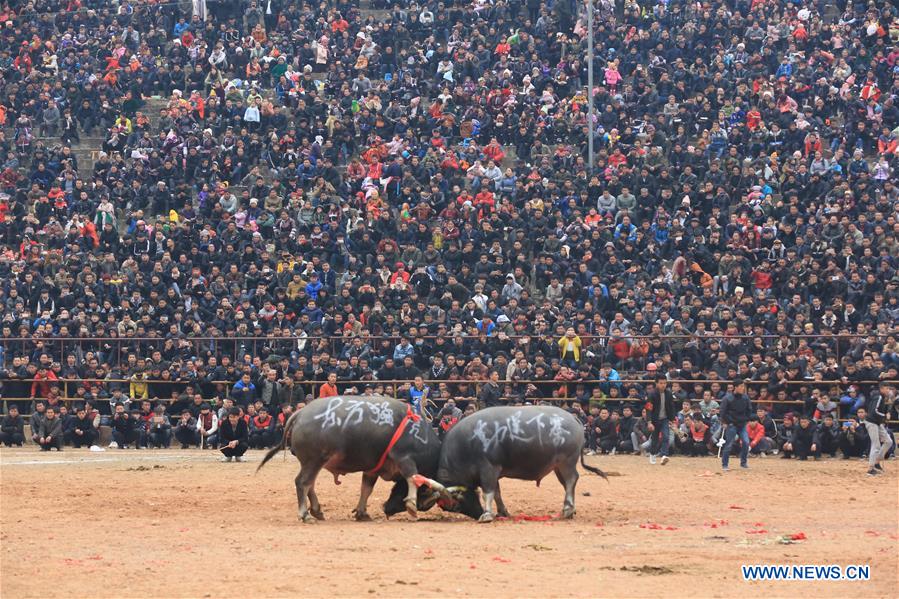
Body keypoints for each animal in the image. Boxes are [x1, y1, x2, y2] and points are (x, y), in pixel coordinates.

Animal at [256, 396, 442, 524]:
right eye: (423, 502)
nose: (386, 509)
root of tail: (300, 413)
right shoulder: (405, 458)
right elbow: (413, 478)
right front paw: (411, 505)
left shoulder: (372, 469)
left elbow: (366, 489)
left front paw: (362, 513)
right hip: (314, 461)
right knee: (303, 482)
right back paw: (305, 514)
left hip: (313, 463)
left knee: (309, 484)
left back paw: (317, 510)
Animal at [420, 406, 604, 524]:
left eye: (456, 505)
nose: (477, 513)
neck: (466, 446)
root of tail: (573, 418)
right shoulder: (494, 472)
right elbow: (497, 493)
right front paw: (502, 512)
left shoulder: (488, 468)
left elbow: (488, 492)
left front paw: (487, 514)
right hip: (558, 466)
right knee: (567, 483)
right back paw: (571, 510)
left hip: (567, 462)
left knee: (572, 480)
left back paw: (567, 510)